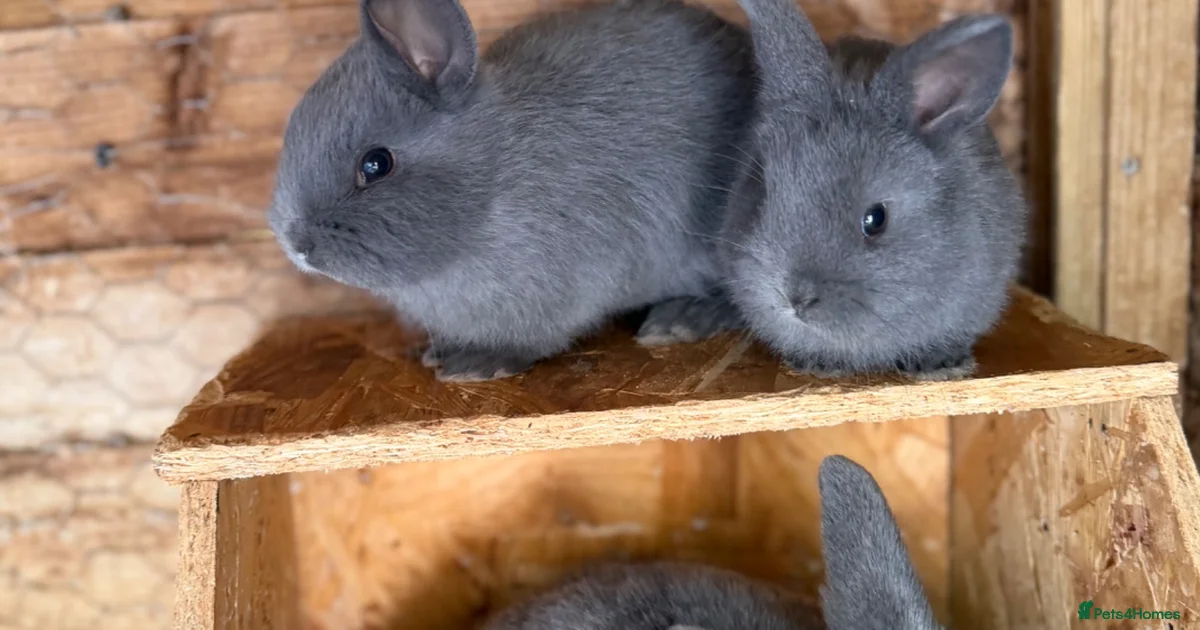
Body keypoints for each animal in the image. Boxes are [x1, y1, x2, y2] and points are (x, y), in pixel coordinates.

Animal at [267, 0, 756, 382]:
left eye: (375, 164)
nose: (296, 245)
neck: (492, 177)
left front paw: (477, 363)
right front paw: (437, 354)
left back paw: (681, 320)